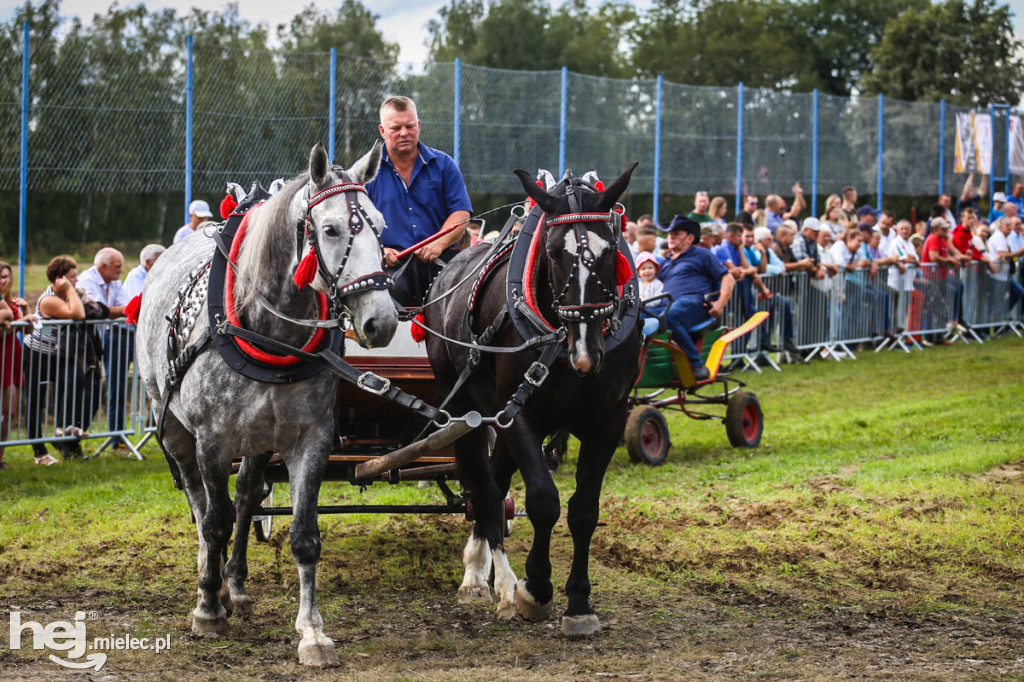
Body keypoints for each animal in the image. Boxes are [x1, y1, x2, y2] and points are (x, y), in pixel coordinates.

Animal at [139, 143, 399, 663]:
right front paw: (208, 607)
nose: (381, 321)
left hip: (259, 438)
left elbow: (303, 537)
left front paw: (312, 632)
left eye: (380, 226)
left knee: (246, 497)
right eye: (331, 229)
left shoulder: (311, 440)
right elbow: (213, 520)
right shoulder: (213, 440)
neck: (269, 332)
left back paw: (234, 584)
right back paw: (211, 579)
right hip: (174, 427)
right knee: (201, 502)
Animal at [423, 161, 638, 634]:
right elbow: (542, 500)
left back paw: (483, 565)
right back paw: (486, 579)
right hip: (462, 406)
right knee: (482, 486)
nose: (586, 354)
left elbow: (583, 510)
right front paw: (535, 589)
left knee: (495, 483)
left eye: (610, 250)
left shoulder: (610, 419)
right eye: (554, 253)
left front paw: (579, 602)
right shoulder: (518, 415)